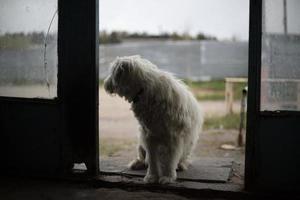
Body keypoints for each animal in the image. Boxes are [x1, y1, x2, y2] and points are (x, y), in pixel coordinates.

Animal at [103, 55, 204, 184]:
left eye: (112, 72)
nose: (105, 84)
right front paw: (152, 176)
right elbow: (151, 158)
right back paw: (138, 163)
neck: (143, 90)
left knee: (181, 158)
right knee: (143, 156)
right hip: (141, 142)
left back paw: (181, 165)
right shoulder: (149, 135)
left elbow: (170, 159)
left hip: (187, 146)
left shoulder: (173, 137)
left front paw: (168, 176)